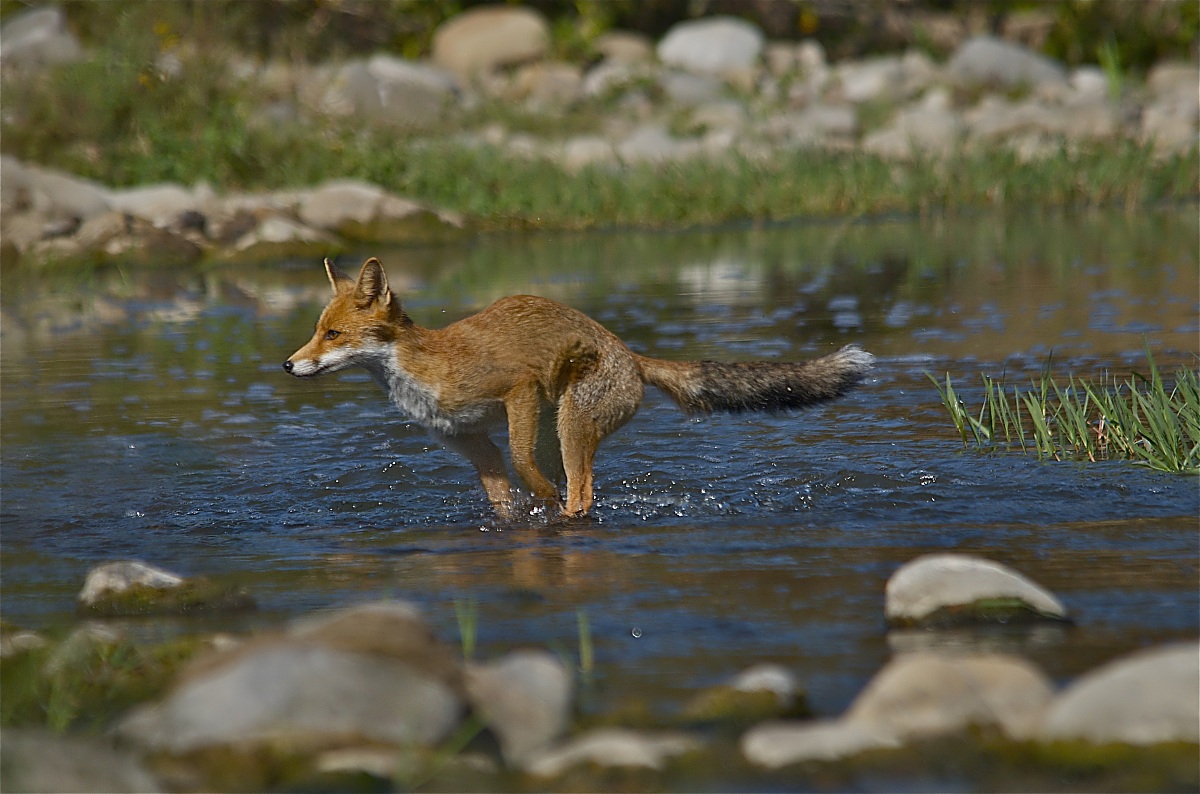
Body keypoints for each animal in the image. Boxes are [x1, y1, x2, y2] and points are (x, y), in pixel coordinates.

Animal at [284, 257, 875, 518]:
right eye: (316, 330)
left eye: (333, 334)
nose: (288, 365)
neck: (421, 372)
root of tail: (631, 356)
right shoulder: (471, 443)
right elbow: (503, 498)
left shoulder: (516, 390)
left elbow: (523, 466)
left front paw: (541, 501)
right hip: (561, 432)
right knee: (583, 487)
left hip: (568, 425)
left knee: (582, 493)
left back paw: (566, 515)